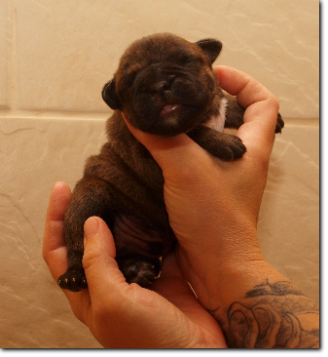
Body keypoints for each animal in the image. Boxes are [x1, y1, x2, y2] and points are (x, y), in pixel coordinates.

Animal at [57, 32, 284, 292]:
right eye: (130, 82)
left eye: (185, 60)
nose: (159, 85)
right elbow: (195, 132)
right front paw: (223, 142)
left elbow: (229, 104)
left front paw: (258, 114)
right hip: (89, 199)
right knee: (78, 240)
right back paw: (74, 276)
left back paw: (138, 271)